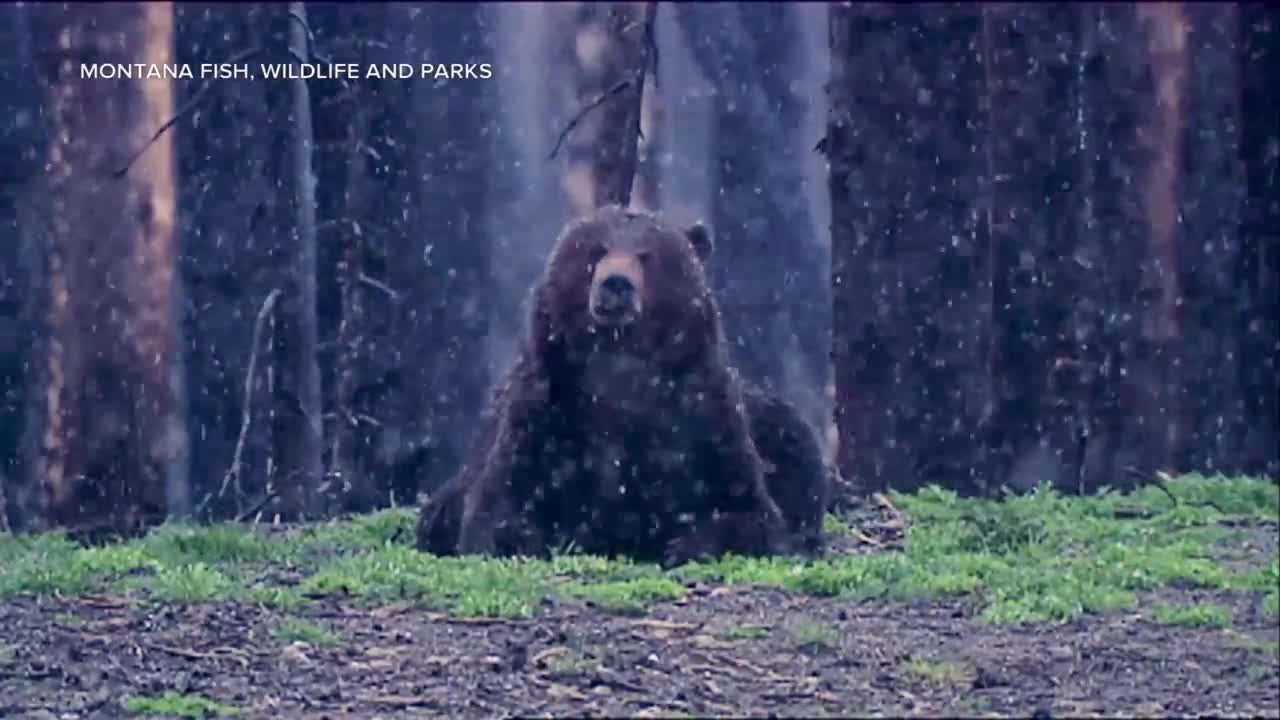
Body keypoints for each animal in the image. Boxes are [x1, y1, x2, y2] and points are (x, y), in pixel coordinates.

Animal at [416, 205, 807, 567]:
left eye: (647, 255)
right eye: (597, 250)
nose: (616, 282)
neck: (618, 364)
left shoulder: (702, 416)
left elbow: (752, 513)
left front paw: (685, 544)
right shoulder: (546, 409)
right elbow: (499, 507)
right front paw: (536, 539)